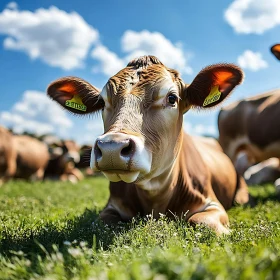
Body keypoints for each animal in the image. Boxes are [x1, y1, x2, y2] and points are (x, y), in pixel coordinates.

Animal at [46, 54, 249, 234]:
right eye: (102, 102)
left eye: (172, 98)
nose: (112, 148)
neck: (154, 196)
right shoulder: (111, 206)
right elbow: (102, 222)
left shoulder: (212, 204)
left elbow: (203, 222)